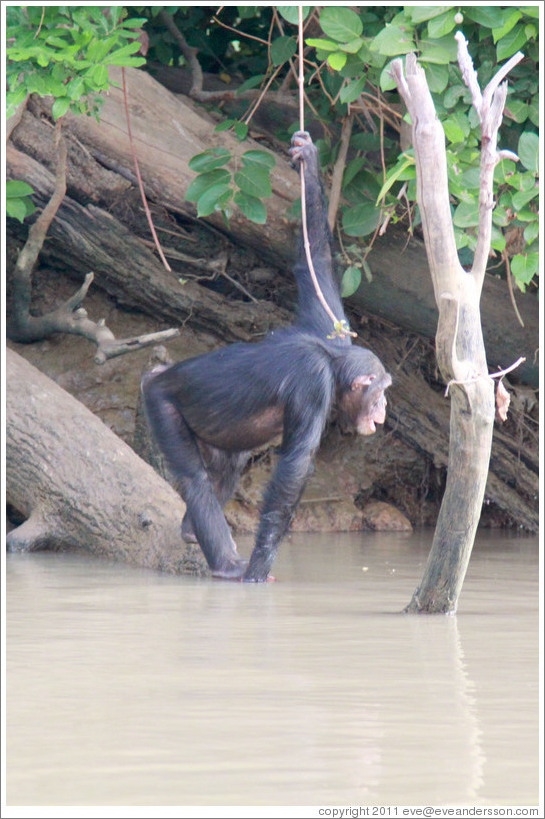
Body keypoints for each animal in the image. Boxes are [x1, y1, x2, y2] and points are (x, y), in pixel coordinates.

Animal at [142, 131, 388, 584]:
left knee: (228, 467)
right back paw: (226, 563)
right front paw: (260, 564)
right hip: (159, 400)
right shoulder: (313, 384)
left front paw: (307, 157)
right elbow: (293, 469)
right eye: (379, 392)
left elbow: (315, 264)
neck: (333, 362)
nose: (382, 409)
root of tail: (159, 372)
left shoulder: (329, 324)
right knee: (195, 478)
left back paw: (191, 531)